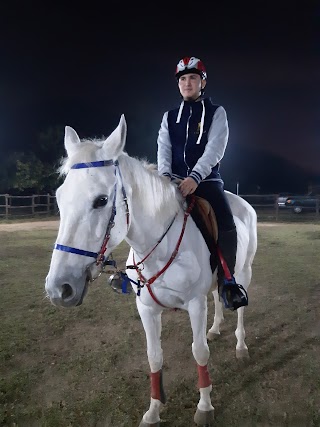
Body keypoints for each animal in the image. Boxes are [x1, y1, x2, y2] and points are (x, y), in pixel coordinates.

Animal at [45, 115, 258, 426]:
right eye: (60, 198)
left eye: (101, 200)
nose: (59, 289)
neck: (160, 247)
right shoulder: (146, 308)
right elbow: (154, 356)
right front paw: (154, 411)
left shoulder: (195, 304)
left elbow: (199, 352)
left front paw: (205, 406)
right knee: (218, 297)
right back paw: (215, 329)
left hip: (243, 272)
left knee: (239, 307)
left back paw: (241, 347)